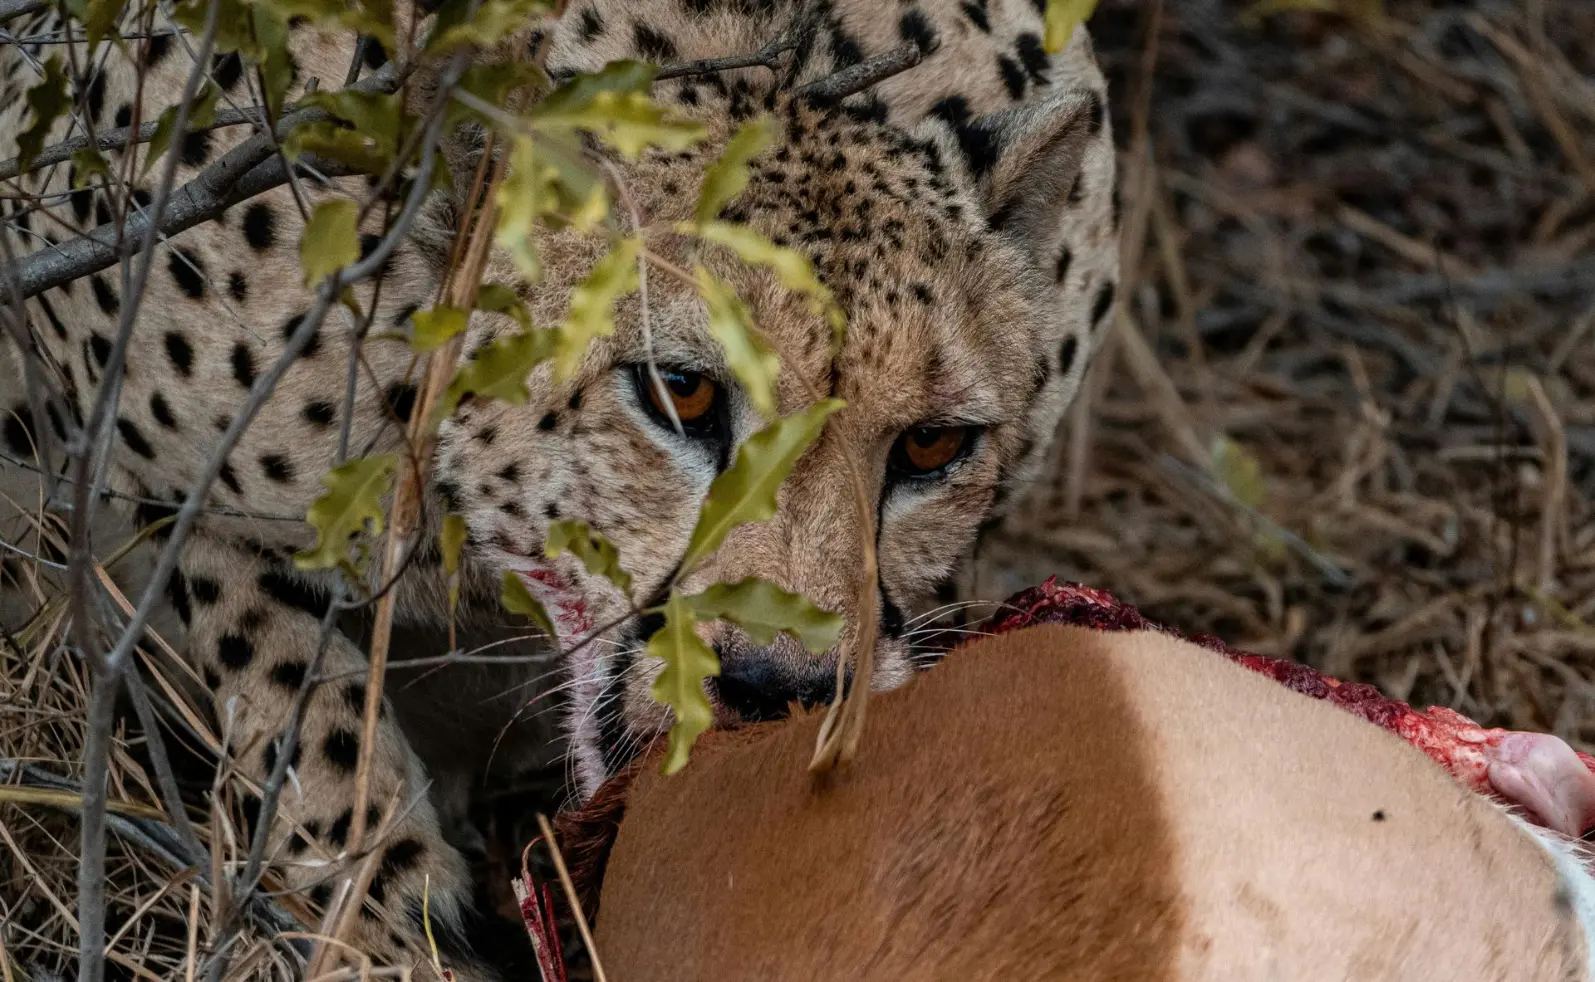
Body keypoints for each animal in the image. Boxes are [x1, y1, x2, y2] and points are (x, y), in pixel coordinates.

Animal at [0, 0, 1118, 976]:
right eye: (679, 391)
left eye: (931, 445)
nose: (780, 688)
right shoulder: (126, 444)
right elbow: (292, 707)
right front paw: (377, 917)